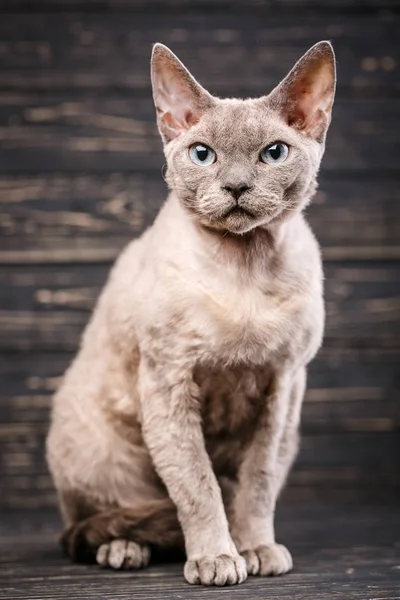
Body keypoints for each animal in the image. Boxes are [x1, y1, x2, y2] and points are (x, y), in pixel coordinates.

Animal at [46, 41, 334, 584]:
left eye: (274, 153)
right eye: (203, 155)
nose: (237, 186)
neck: (245, 266)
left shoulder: (282, 387)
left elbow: (257, 483)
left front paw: (255, 549)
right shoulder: (169, 381)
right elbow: (197, 485)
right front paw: (217, 559)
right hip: (90, 439)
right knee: (110, 514)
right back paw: (125, 548)